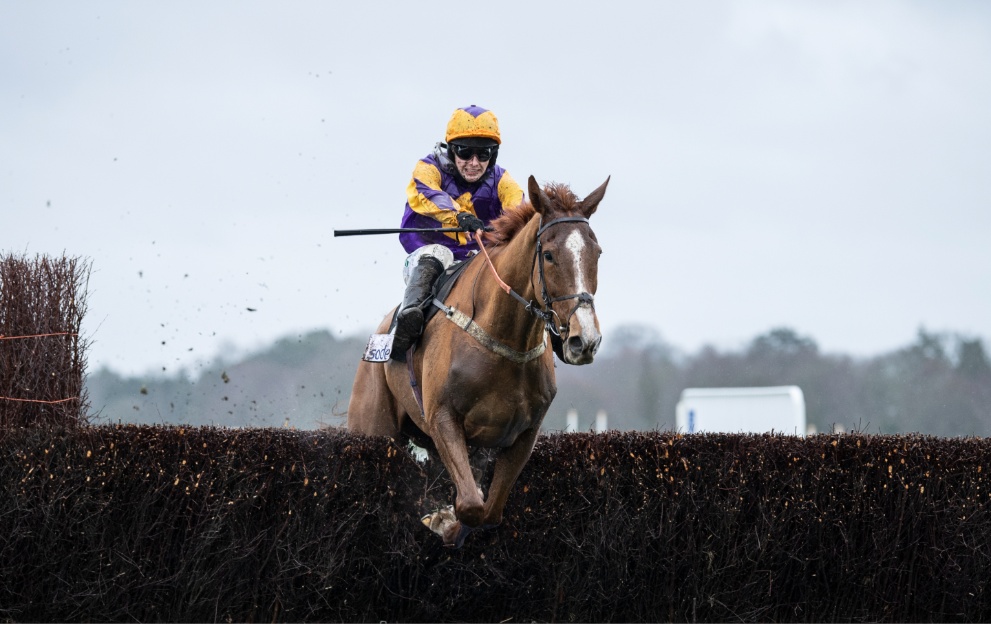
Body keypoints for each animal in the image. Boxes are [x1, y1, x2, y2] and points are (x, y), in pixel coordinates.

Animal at [348, 176, 612, 544]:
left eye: (596, 253)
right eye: (548, 255)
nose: (584, 340)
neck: (504, 340)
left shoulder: (522, 434)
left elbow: (489, 510)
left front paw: (447, 519)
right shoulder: (443, 418)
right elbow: (471, 504)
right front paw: (443, 521)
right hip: (373, 425)